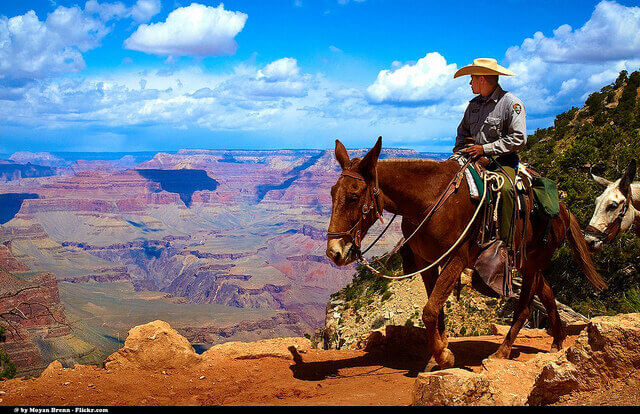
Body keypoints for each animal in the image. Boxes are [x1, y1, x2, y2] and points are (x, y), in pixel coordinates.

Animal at [326, 137, 608, 369]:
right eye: (331, 193)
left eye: (353, 196)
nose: (334, 252)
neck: (431, 198)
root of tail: (563, 208)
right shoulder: (427, 262)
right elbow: (436, 310)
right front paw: (437, 355)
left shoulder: (456, 259)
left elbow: (429, 310)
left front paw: (444, 356)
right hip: (529, 262)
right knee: (547, 291)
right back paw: (558, 341)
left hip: (533, 261)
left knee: (525, 307)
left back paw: (503, 352)